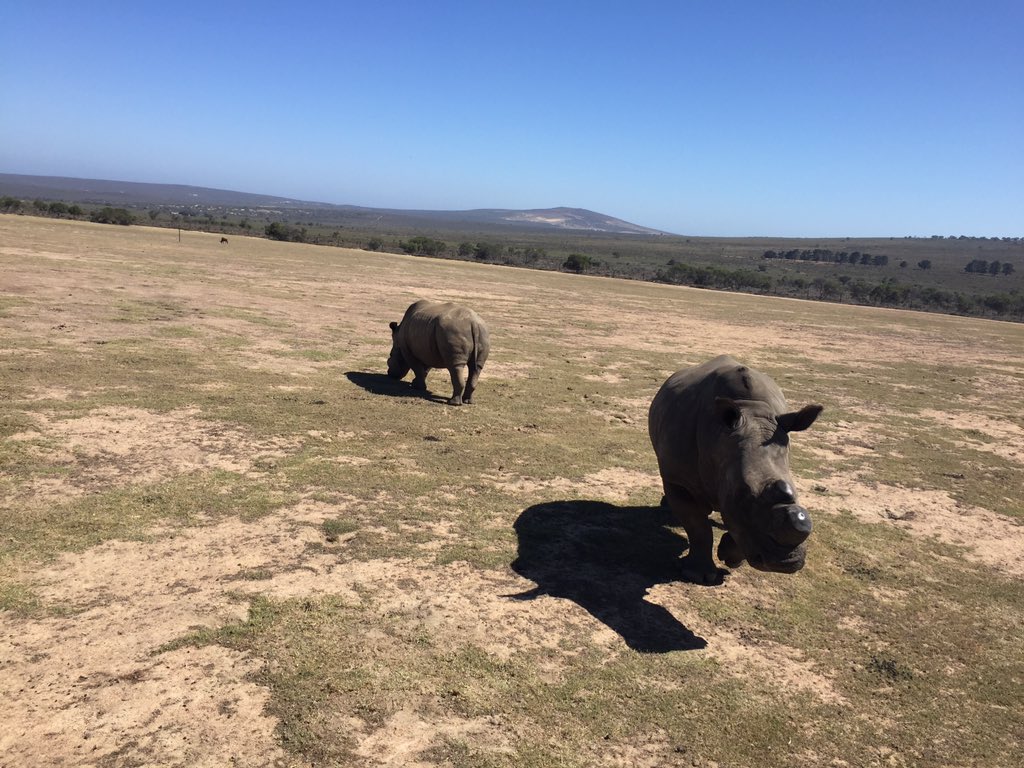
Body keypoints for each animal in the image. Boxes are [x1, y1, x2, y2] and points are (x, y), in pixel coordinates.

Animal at [648, 355, 823, 584]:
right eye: (742, 495)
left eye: (796, 491)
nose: (786, 562)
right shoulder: (678, 480)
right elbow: (698, 528)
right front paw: (698, 575)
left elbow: (737, 525)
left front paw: (730, 557)